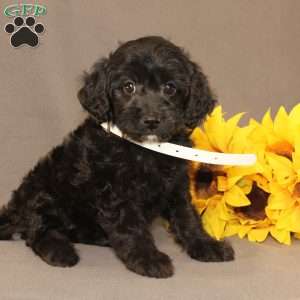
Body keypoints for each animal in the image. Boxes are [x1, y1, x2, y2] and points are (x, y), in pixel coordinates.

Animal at [0, 36, 233, 278]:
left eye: (170, 88)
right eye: (128, 86)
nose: (151, 120)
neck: (146, 150)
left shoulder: (176, 185)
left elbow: (187, 216)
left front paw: (205, 244)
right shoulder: (116, 191)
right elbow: (130, 225)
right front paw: (147, 258)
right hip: (44, 191)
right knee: (38, 230)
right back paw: (60, 251)